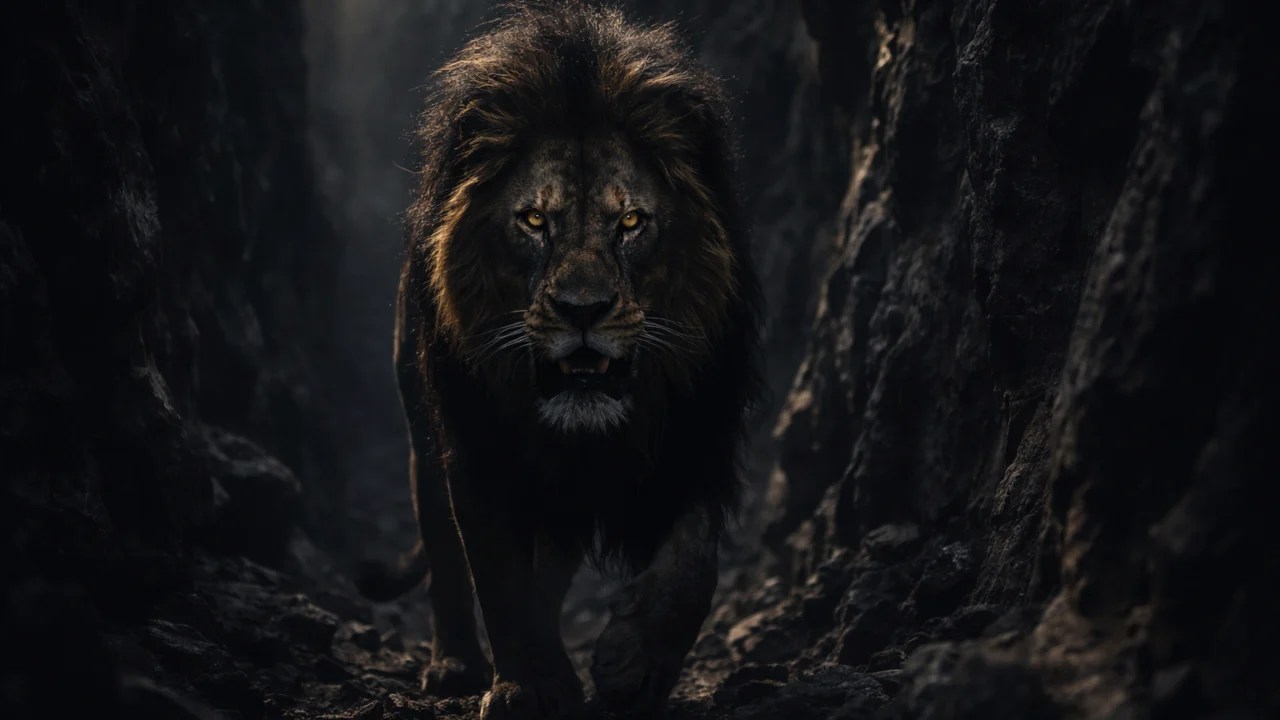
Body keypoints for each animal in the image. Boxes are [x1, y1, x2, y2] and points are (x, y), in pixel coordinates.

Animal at [355, 2, 762, 717]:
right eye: (534, 221)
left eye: (630, 223)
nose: (583, 311)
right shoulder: (476, 446)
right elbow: (497, 576)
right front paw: (528, 686)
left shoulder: (696, 431)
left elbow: (693, 564)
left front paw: (633, 665)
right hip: (421, 428)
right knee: (443, 554)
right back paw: (455, 664)